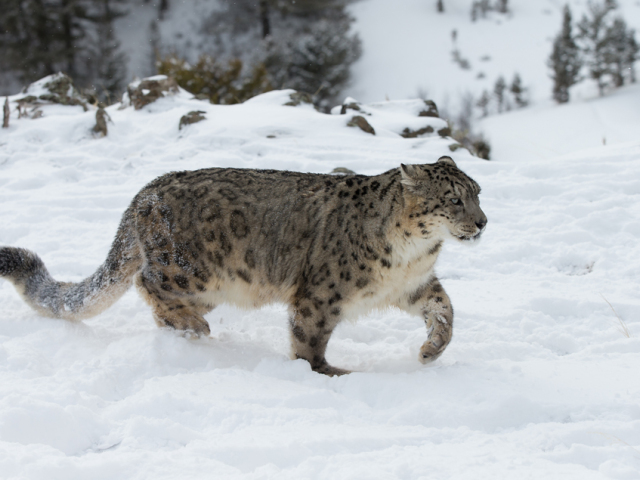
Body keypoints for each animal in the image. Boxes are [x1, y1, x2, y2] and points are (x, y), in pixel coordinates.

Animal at [0, 156, 486, 376]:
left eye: (478, 192)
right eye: (453, 199)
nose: (482, 222)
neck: (413, 253)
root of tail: (146, 191)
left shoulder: (416, 285)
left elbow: (445, 309)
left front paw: (430, 350)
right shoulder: (321, 294)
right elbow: (310, 337)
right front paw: (324, 372)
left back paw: (186, 330)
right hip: (189, 269)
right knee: (147, 283)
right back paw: (193, 327)